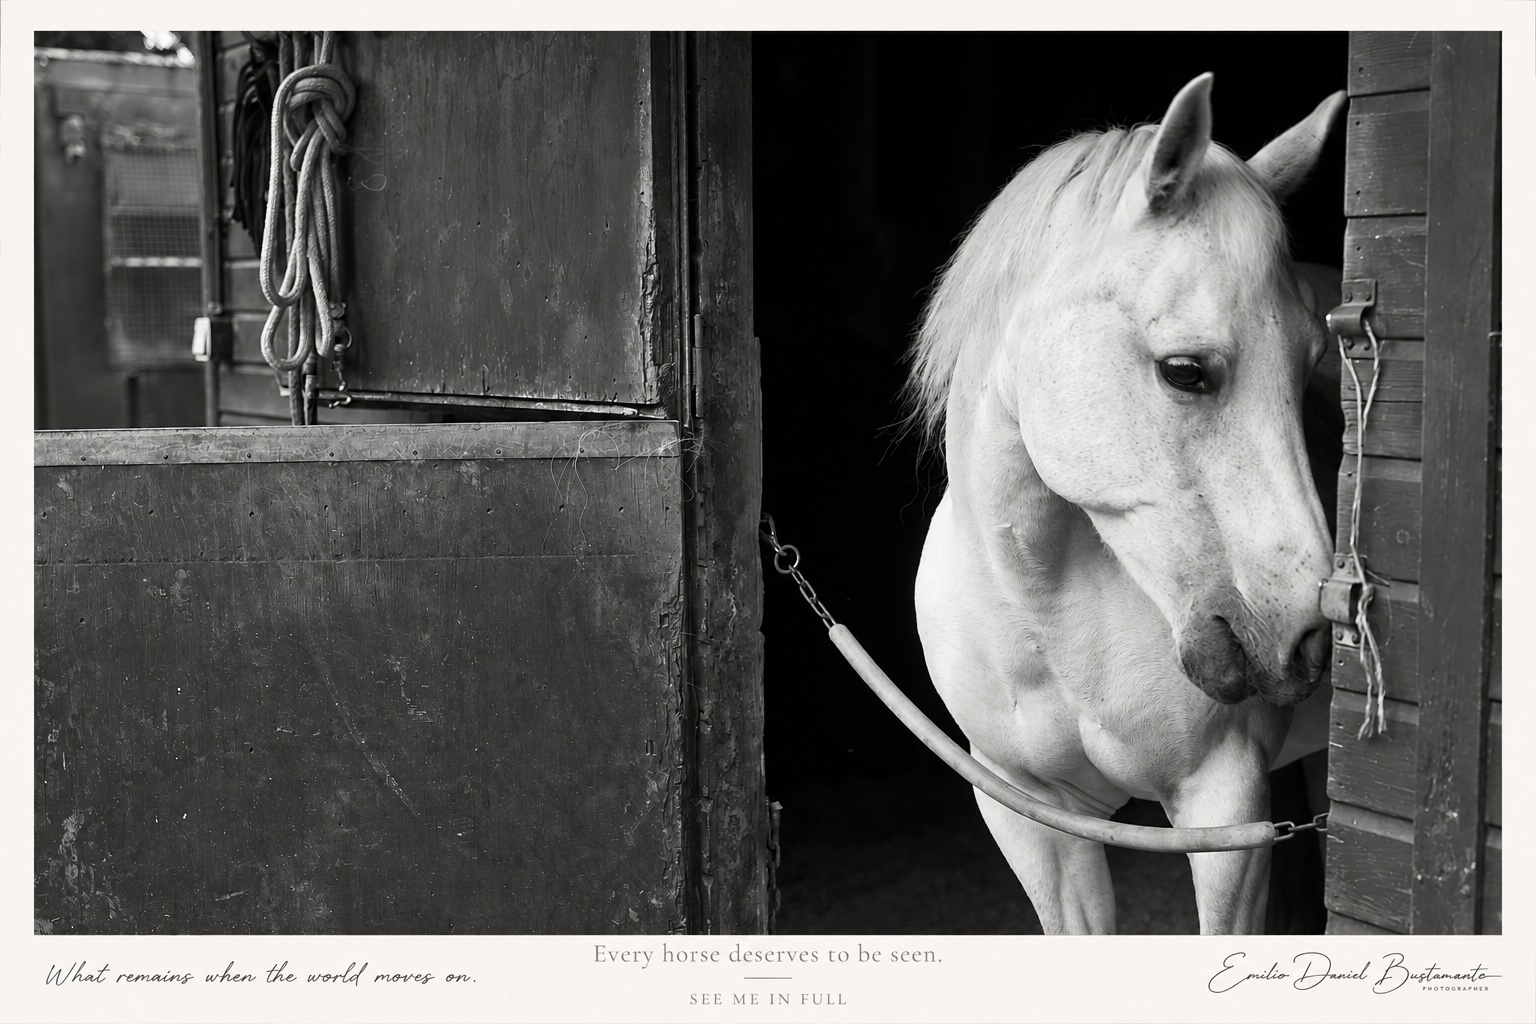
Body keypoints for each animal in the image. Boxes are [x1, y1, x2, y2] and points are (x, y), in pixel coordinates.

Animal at [908, 74, 1347, 935]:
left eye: (1315, 360)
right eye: (1185, 370)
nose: (1303, 634)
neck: (1044, 607)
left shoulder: (1224, 811)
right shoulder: (1028, 812)